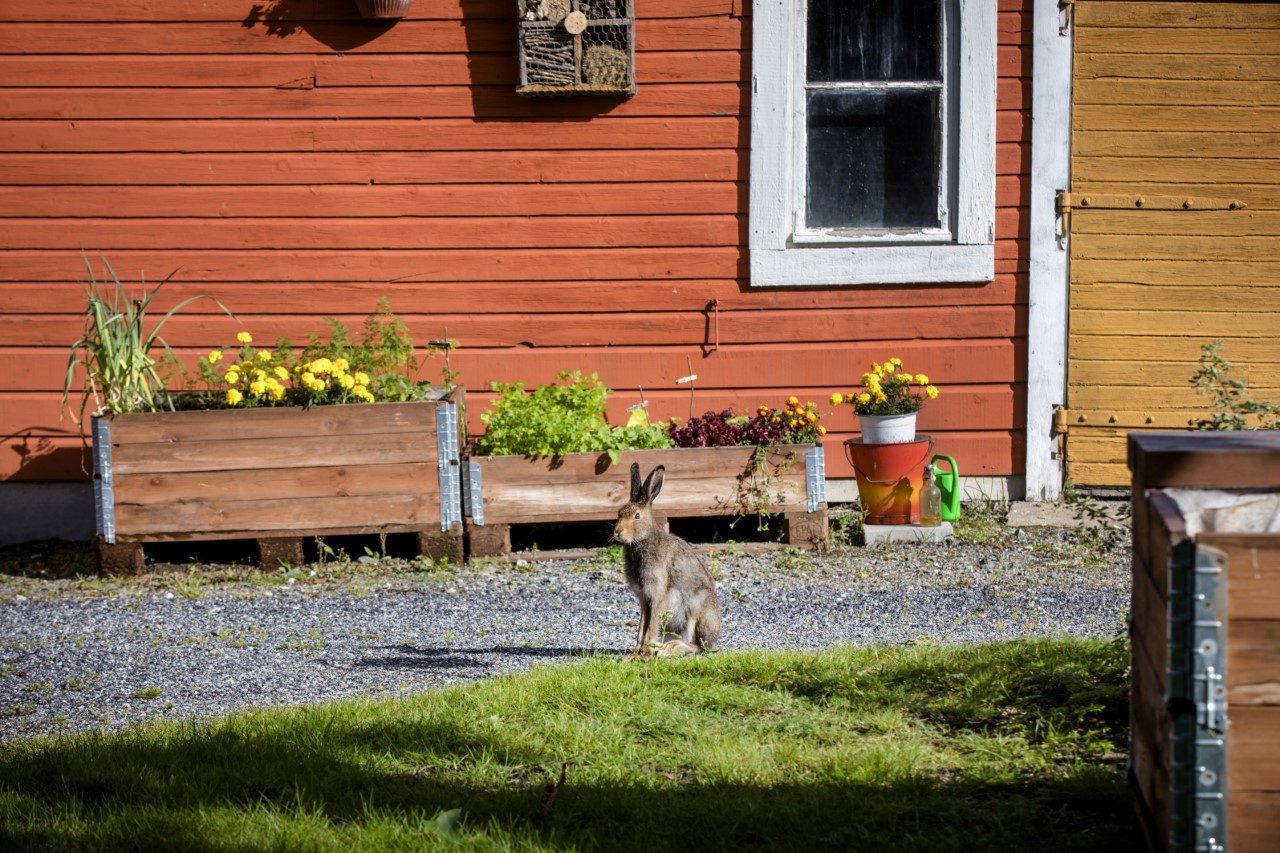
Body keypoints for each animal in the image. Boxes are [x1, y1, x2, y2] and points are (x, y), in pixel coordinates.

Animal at [613, 463, 722, 657]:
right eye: (619, 513)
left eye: (637, 516)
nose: (617, 532)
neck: (643, 540)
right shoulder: (644, 600)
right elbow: (642, 628)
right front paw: (635, 653)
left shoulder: (657, 595)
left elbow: (651, 627)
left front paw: (646, 653)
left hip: (695, 609)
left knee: (696, 646)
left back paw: (668, 649)